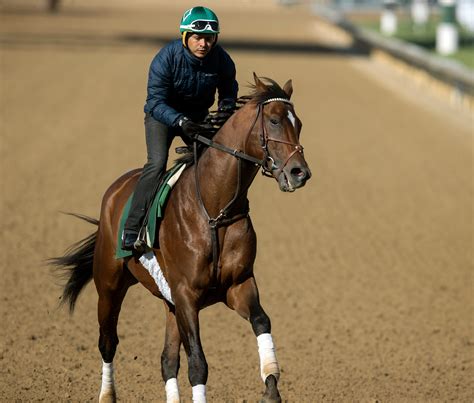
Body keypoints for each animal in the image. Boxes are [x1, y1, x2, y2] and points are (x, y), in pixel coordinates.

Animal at [51, 73, 312, 403]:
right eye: (275, 120)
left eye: (298, 123)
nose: (300, 172)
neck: (214, 211)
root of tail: (115, 191)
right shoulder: (187, 294)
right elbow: (198, 363)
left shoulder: (237, 285)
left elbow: (261, 322)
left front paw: (270, 386)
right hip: (109, 285)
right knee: (108, 342)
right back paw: (107, 395)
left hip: (169, 302)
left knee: (167, 359)